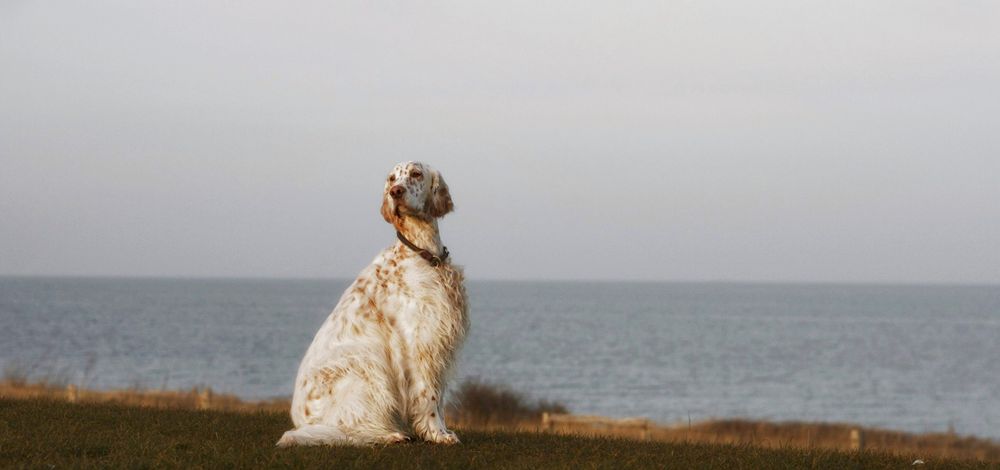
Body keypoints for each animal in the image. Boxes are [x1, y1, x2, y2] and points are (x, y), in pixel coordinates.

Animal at [276, 162, 466, 448]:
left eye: (416, 174)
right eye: (392, 179)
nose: (395, 192)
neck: (423, 253)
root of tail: (303, 421)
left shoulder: (437, 343)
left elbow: (439, 397)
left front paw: (442, 430)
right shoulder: (418, 343)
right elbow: (428, 396)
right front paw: (436, 433)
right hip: (364, 367)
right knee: (348, 429)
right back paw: (389, 434)